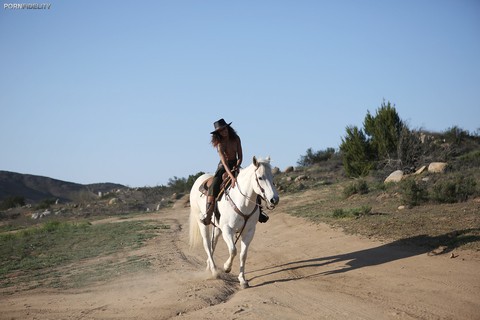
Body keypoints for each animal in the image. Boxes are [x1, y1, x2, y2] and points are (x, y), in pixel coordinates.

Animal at [188, 155, 278, 288]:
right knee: (207, 244)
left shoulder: (249, 231)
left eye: (272, 176)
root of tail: (198, 180)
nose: (274, 199)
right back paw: (214, 271)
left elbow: (243, 254)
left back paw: (209, 266)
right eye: (260, 177)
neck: (242, 202)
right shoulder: (227, 229)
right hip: (202, 223)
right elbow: (233, 250)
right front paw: (226, 267)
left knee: (213, 243)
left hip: (217, 227)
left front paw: (242, 280)